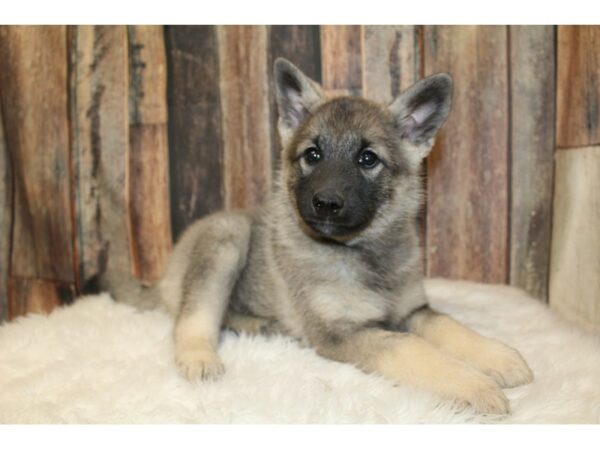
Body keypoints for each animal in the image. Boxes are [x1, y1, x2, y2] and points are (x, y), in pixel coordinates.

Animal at [106, 59, 528, 414]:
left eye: (367, 159)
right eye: (312, 154)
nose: (325, 203)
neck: (361, 252)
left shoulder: (412, 311)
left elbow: (449, 326)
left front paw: (499, 357)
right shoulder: (342, 333)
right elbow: (412, 348)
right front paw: (474, 385)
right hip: (226, 237)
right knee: (193, 318)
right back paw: (200, 357)